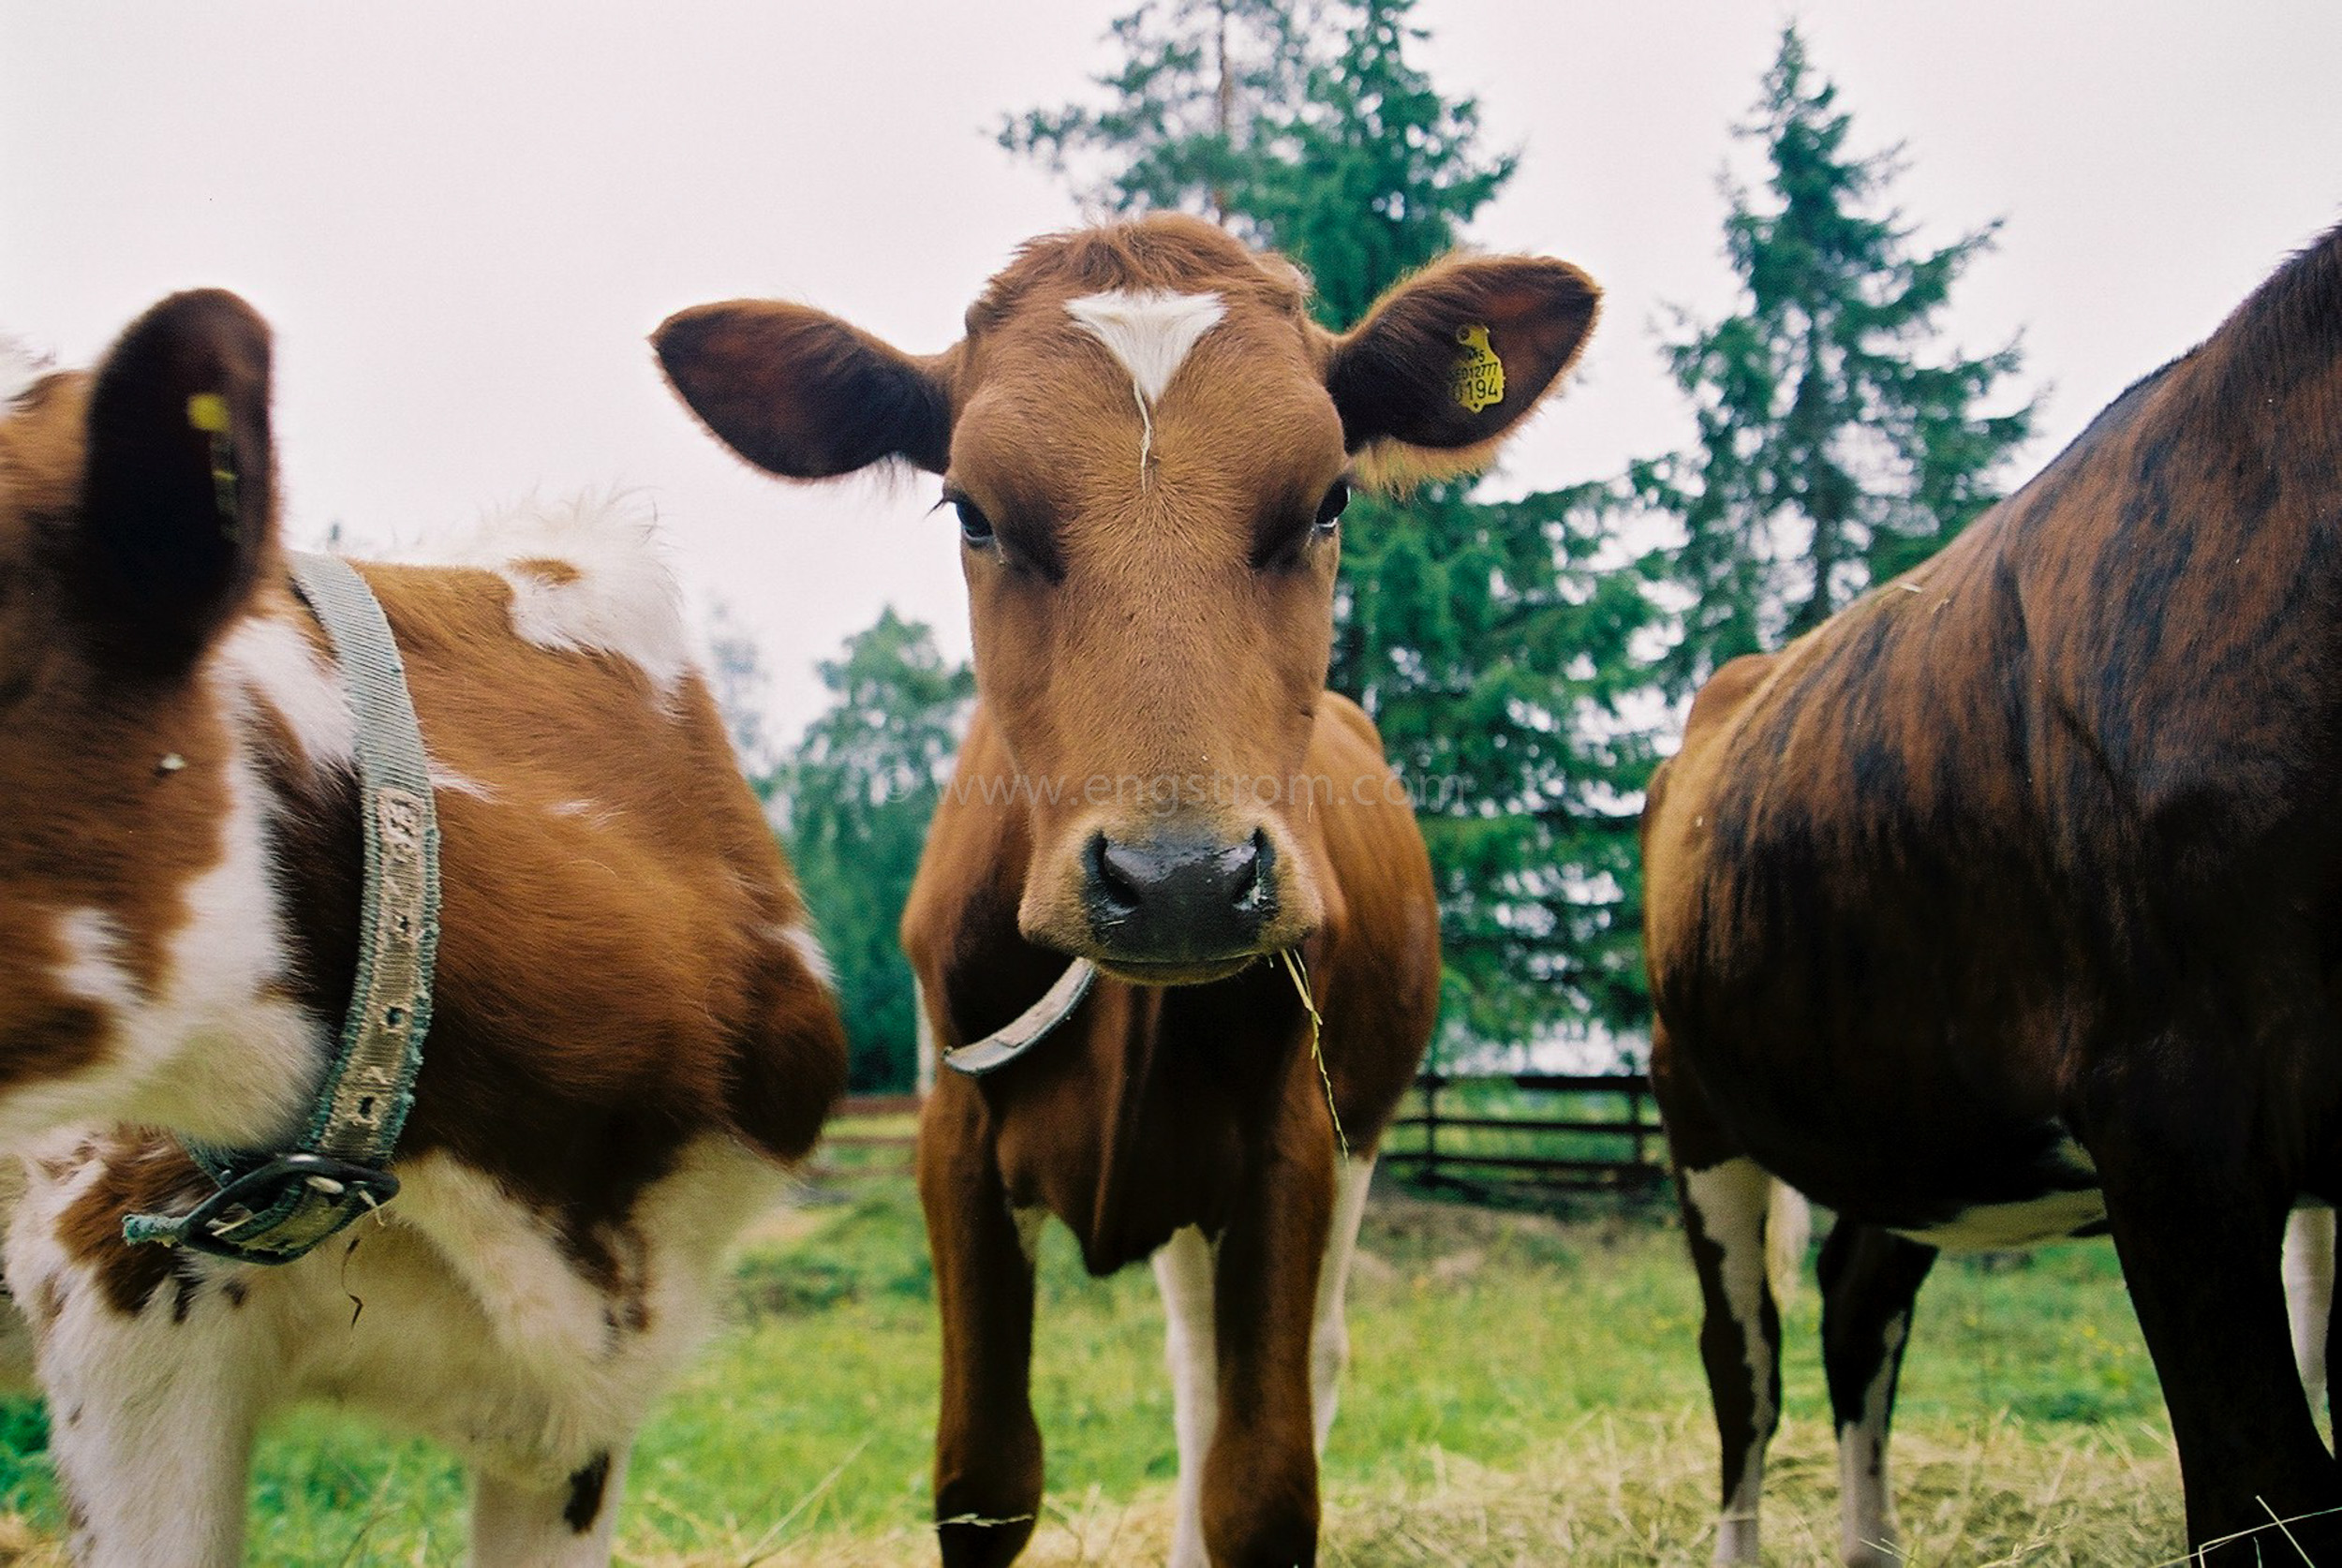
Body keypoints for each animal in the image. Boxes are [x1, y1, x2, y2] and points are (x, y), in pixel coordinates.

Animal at [1639, 221, 2342, 1568]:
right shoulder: (2171, 1113)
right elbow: (2267, 1491)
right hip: (1698, 1108)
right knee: (1741, 1364)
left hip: (1903, 1110)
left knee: (1858, 1301)